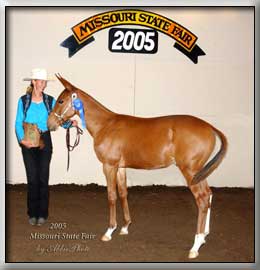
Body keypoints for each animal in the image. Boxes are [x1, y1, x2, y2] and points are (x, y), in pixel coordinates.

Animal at [47, 74, 228, 260]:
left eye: (61, 101)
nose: (49, 124)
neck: (106, 125)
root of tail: (209, 127)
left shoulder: (109, 166)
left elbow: (111, 196)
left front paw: (109, 231)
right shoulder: (120, 167)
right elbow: (123, 193)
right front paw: (125, 227)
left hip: (190, 171)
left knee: (202, 199)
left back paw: (196, 245)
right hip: (199, 172)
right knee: (209, 195)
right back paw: (204, 235)